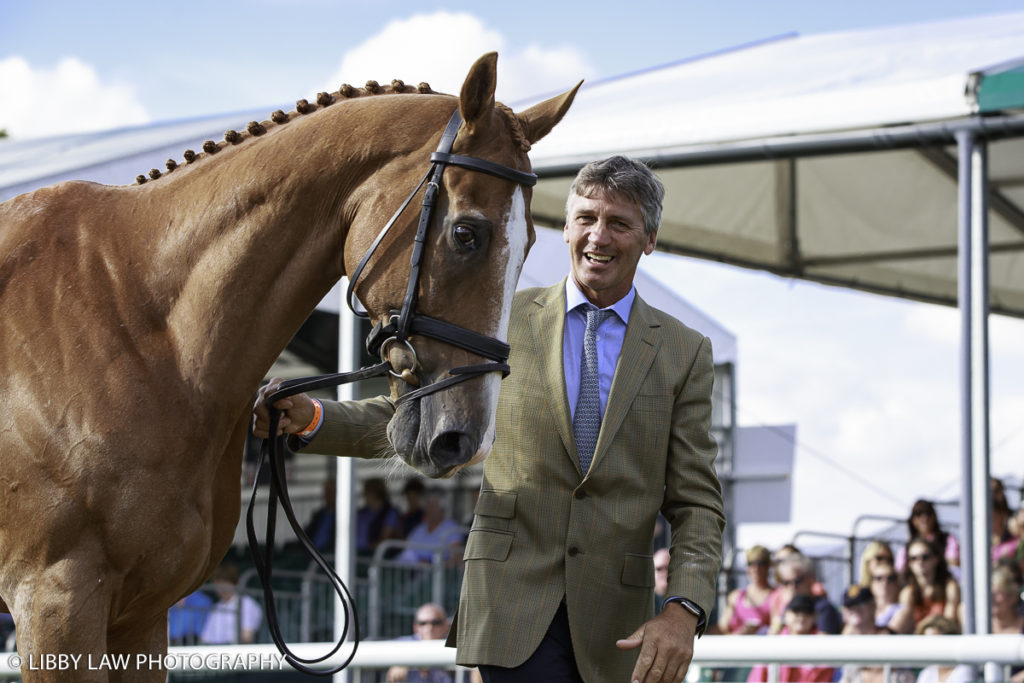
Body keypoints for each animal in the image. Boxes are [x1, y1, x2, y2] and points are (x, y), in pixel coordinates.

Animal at [0, 54, 581, 683]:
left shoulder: (141, 616)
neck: (139, 327)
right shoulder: (57, 602)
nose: (465, 441)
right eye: (467, 233)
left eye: (530, 246)